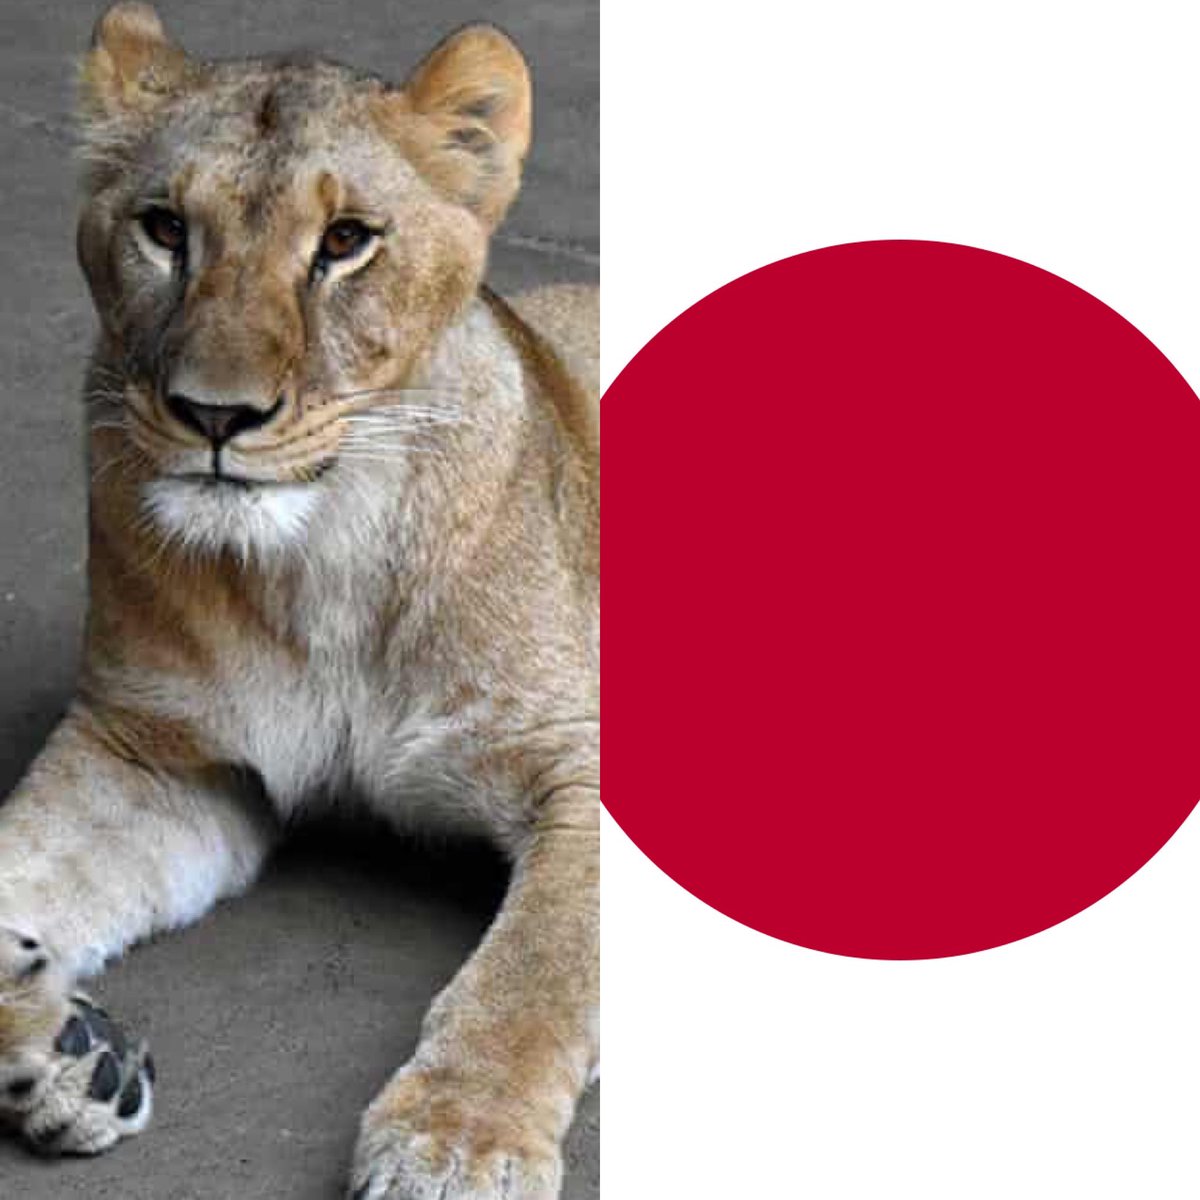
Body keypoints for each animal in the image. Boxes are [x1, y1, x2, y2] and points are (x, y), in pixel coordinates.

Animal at [0, 5, 598, 1198]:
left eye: (346, 241)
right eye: (164, 229)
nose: (214, 415)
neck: (323, 562)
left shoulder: (585, 768)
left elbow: (535, 967)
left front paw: (456, 1142)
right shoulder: (155, 756)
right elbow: (20, 860)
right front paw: (66, 1048)